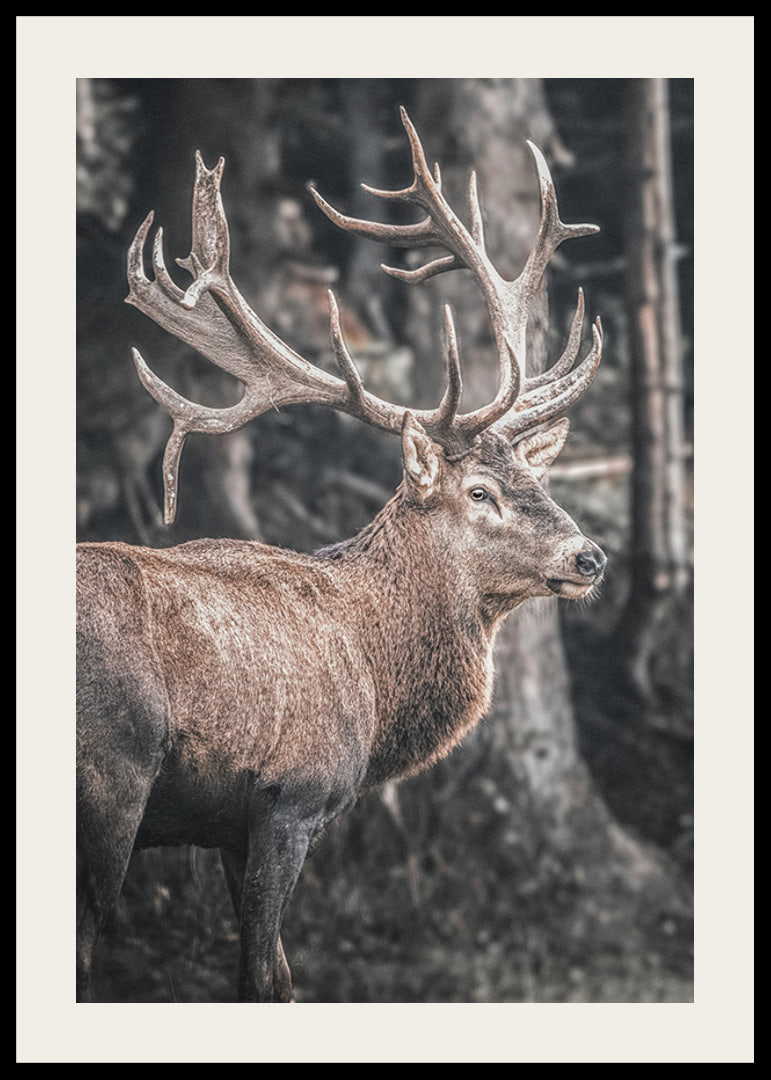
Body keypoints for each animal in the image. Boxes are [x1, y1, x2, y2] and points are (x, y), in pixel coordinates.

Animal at [76, 107, 606, 1003]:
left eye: (534, 477)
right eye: (479, 493)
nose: (590, 557)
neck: (373, 672)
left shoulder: (227, 827)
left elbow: (278, 976)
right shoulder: (291, 795)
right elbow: (265, 977)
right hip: (110, 778)